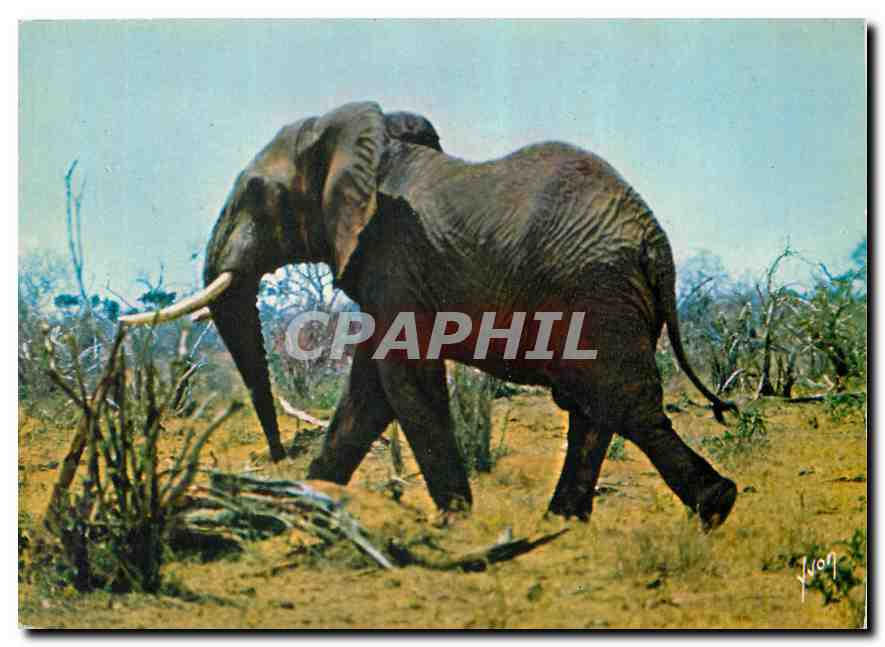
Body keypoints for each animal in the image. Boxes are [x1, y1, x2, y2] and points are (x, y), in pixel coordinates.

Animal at [122, 101, 738, 528]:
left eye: (255, 191)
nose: (274, 460)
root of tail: (655, 242)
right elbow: (369, 389)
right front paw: (316, 501)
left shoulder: (392, 251)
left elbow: (403, 377)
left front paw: (454, 521)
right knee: (593, 406)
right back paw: (562, 521)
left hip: (595, 291)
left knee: (622, 401)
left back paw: (715, 507)